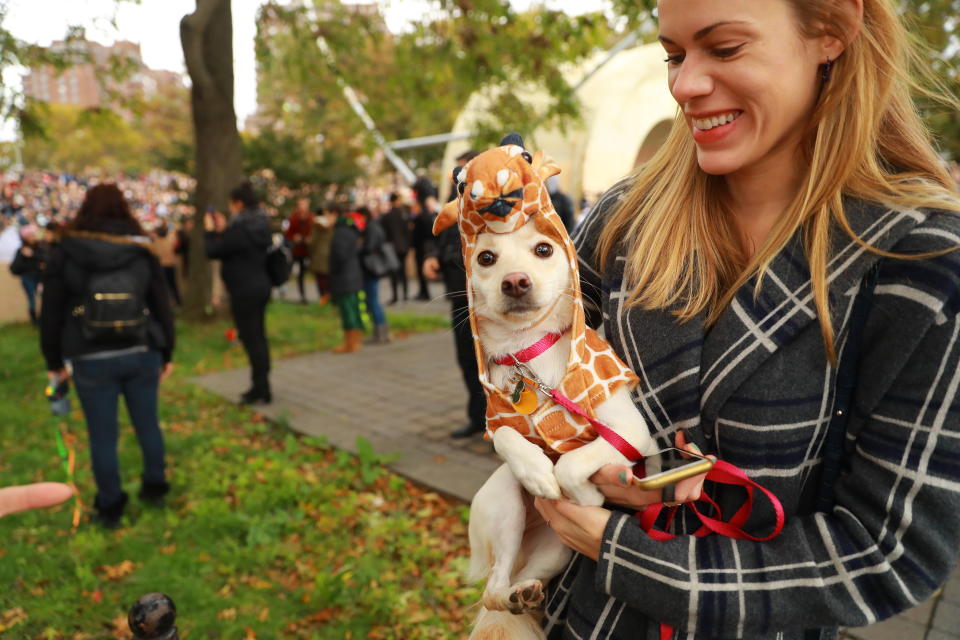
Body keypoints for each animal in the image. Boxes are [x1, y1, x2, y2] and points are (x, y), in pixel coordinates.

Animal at [436, 136, 660, 640]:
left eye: (543, 249)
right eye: (485, 258)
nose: (516, 281)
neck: (529, 354)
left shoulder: (630, 435)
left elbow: (574, 463)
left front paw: (585, 495)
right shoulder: (498, 418)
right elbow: (506, 434)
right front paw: (539, 469)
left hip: (557, 546)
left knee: (512, 584)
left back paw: (527, 593)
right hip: (506, 503)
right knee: (493, 588)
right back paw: (516, 592)